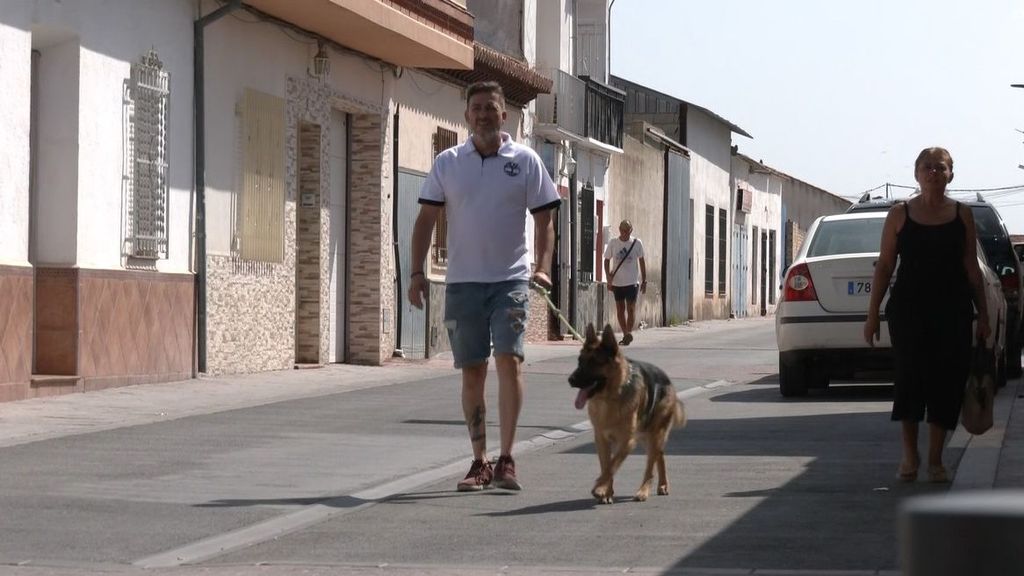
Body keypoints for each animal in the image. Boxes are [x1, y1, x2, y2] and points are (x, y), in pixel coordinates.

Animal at [569, 323, 688, 502]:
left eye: (593, 362)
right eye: (580, 361)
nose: (570, 380)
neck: (611, 398)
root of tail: (667, 378)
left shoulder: (627, 441)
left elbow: (612, 466)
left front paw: (599, 488)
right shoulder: (602, 440)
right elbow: (606, 465)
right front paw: (607, 493)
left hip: (654, 435)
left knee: (651, 465)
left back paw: (644, 491)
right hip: (646, 437)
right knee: (660, 456)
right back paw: (662, 485)